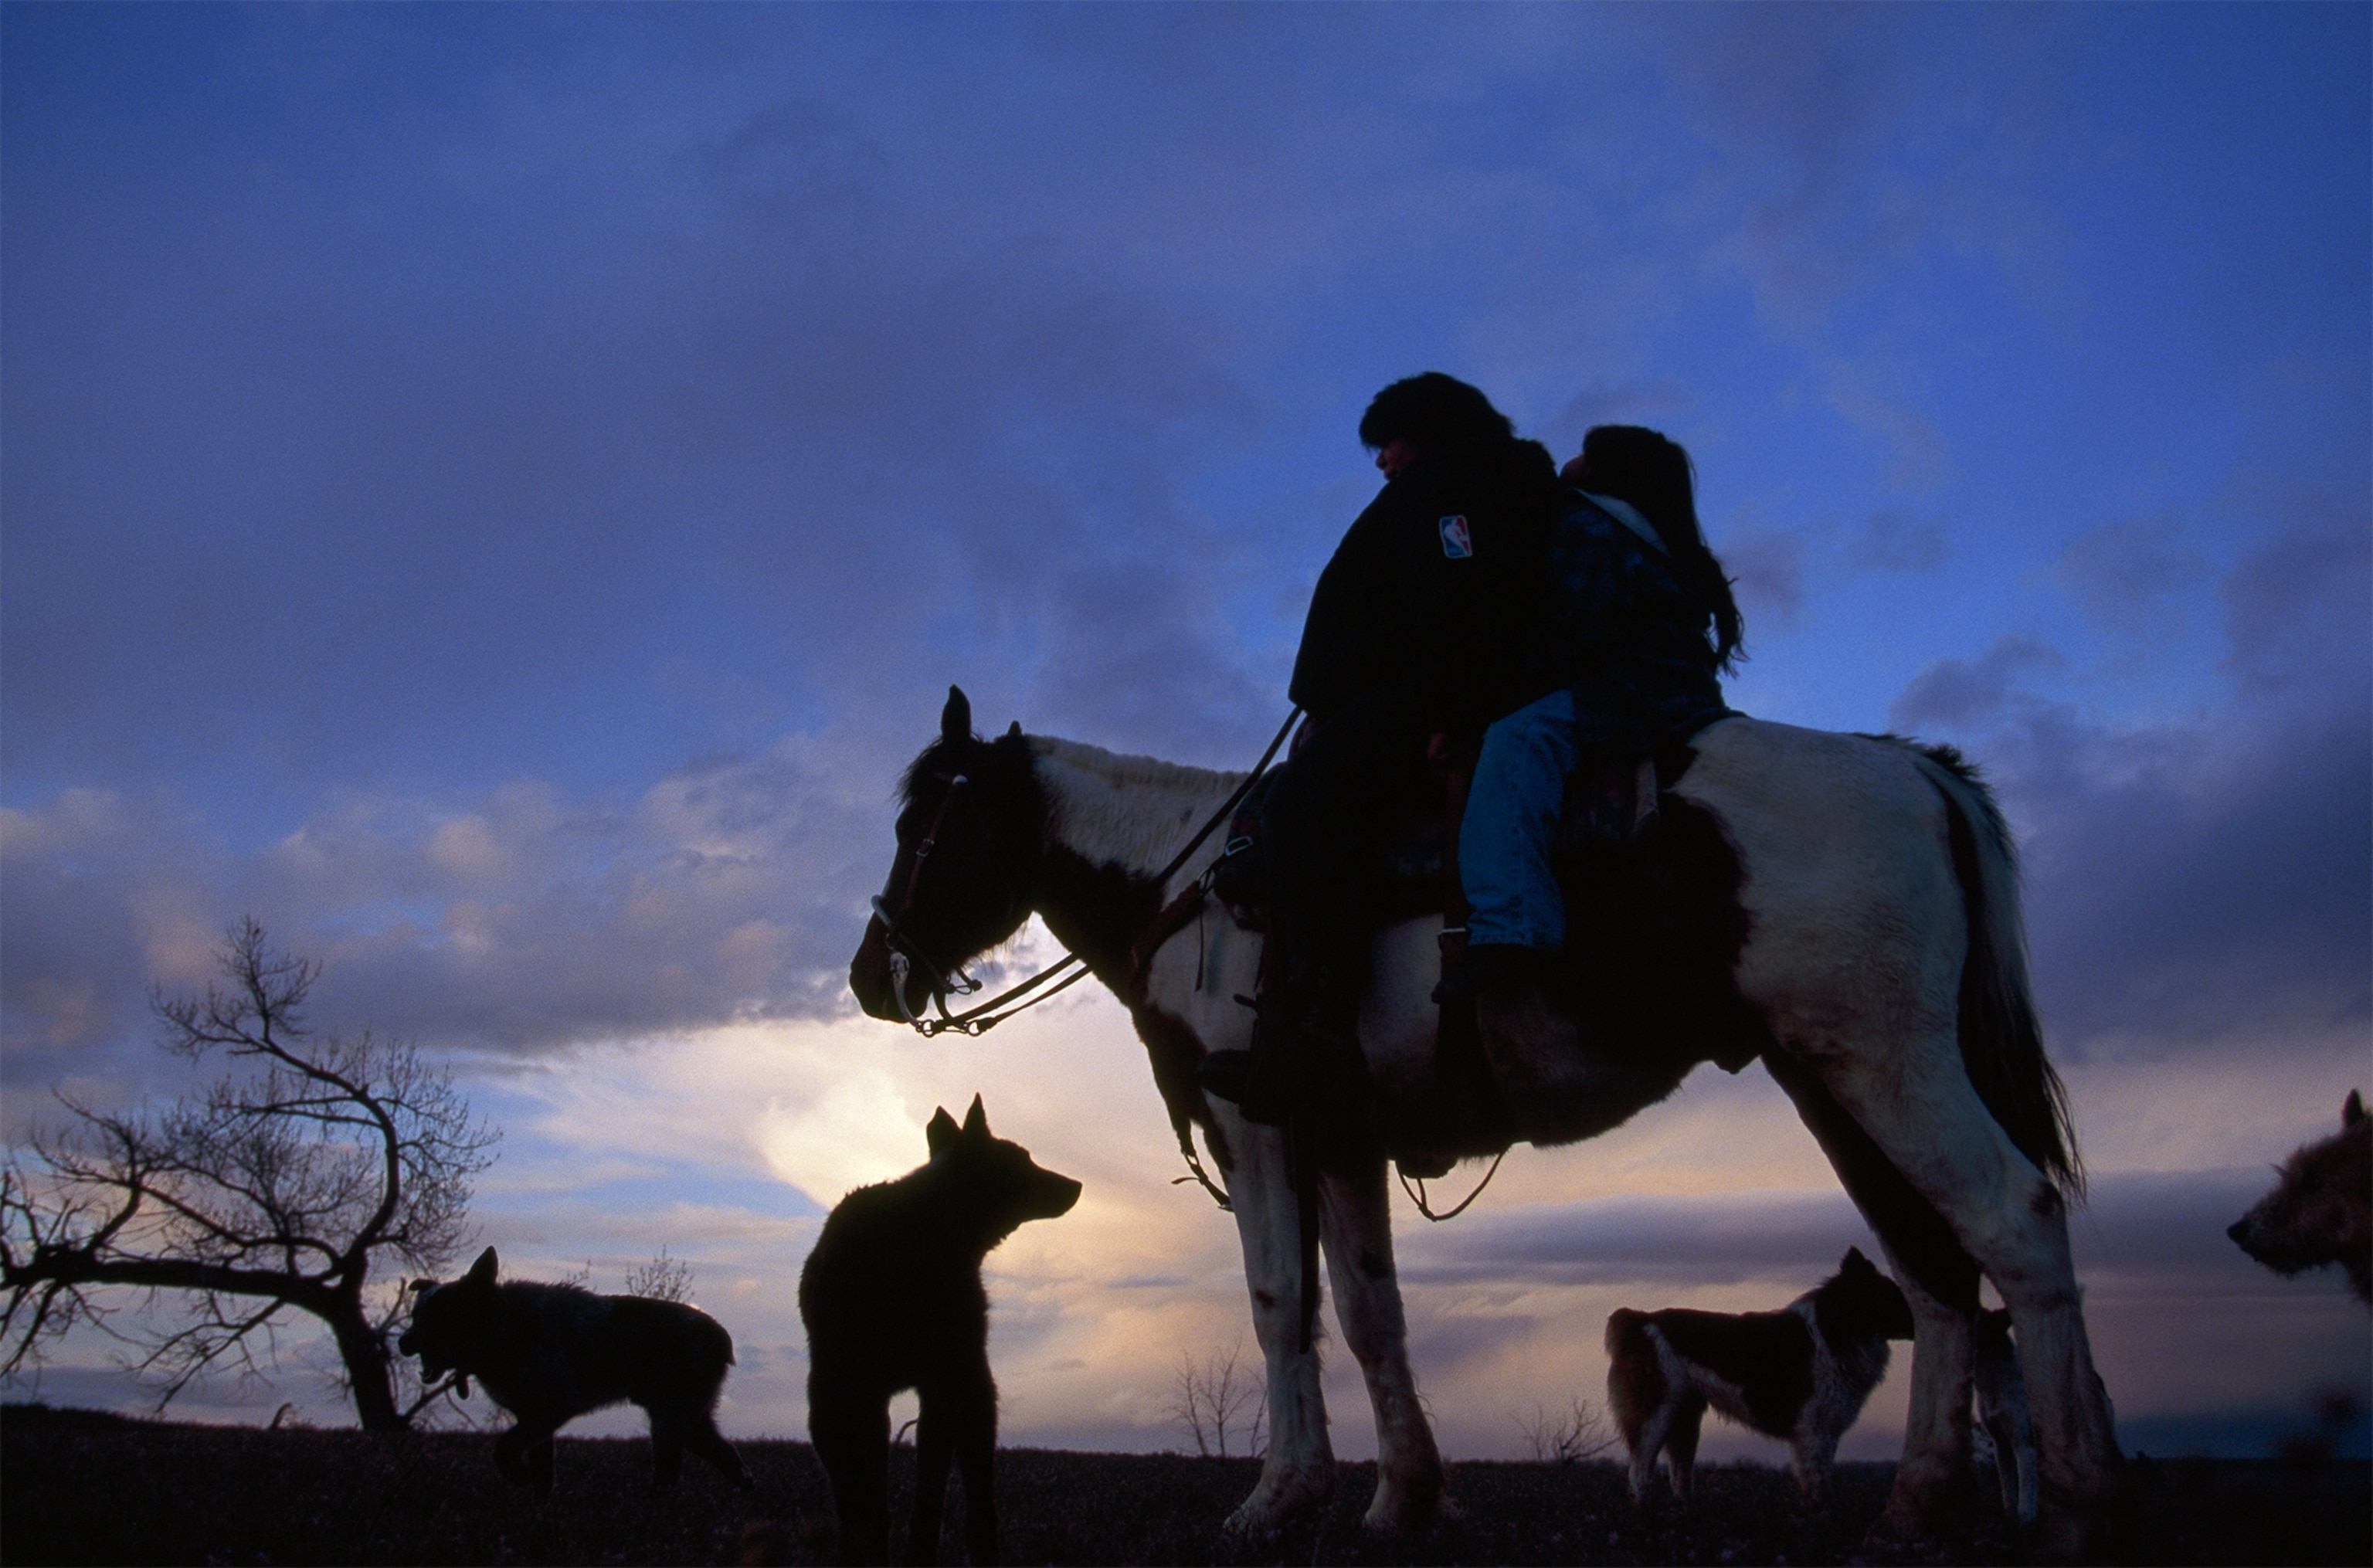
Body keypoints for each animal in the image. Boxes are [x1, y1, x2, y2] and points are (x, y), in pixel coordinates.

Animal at [848, 687, 2125, 1555]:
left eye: (928, 831)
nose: (870, 975)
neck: (1196, 885)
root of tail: (1915, 770)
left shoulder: (1253, 1124)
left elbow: (1277, 1301)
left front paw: (1277, 1499)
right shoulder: (1341, 1135)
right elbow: (1370, 1313)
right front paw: (1403, 1496)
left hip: (1885, 1060)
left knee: (2010, 1220)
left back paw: (2075, 1500)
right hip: (1833, 1078)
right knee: (1932, 1268)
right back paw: (1919, 1505)